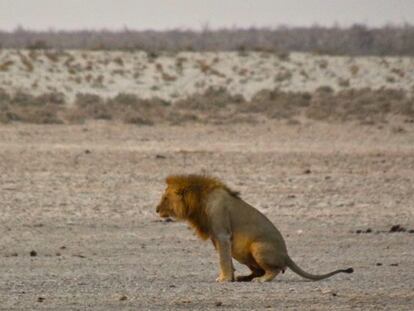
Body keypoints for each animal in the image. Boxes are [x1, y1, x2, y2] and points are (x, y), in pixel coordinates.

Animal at [155, 176, 352, 282]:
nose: (156, 210)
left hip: (256, 246)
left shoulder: (222, 235)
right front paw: (230, 277)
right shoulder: (217, 239)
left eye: (165, 198)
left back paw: (262, 279)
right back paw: (244, 278)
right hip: (242, 250)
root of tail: (286, 255)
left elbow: (223, 260)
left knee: (272, 270)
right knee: (258, 269)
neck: (199, 201)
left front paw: (224, 279)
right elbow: (225, 259)